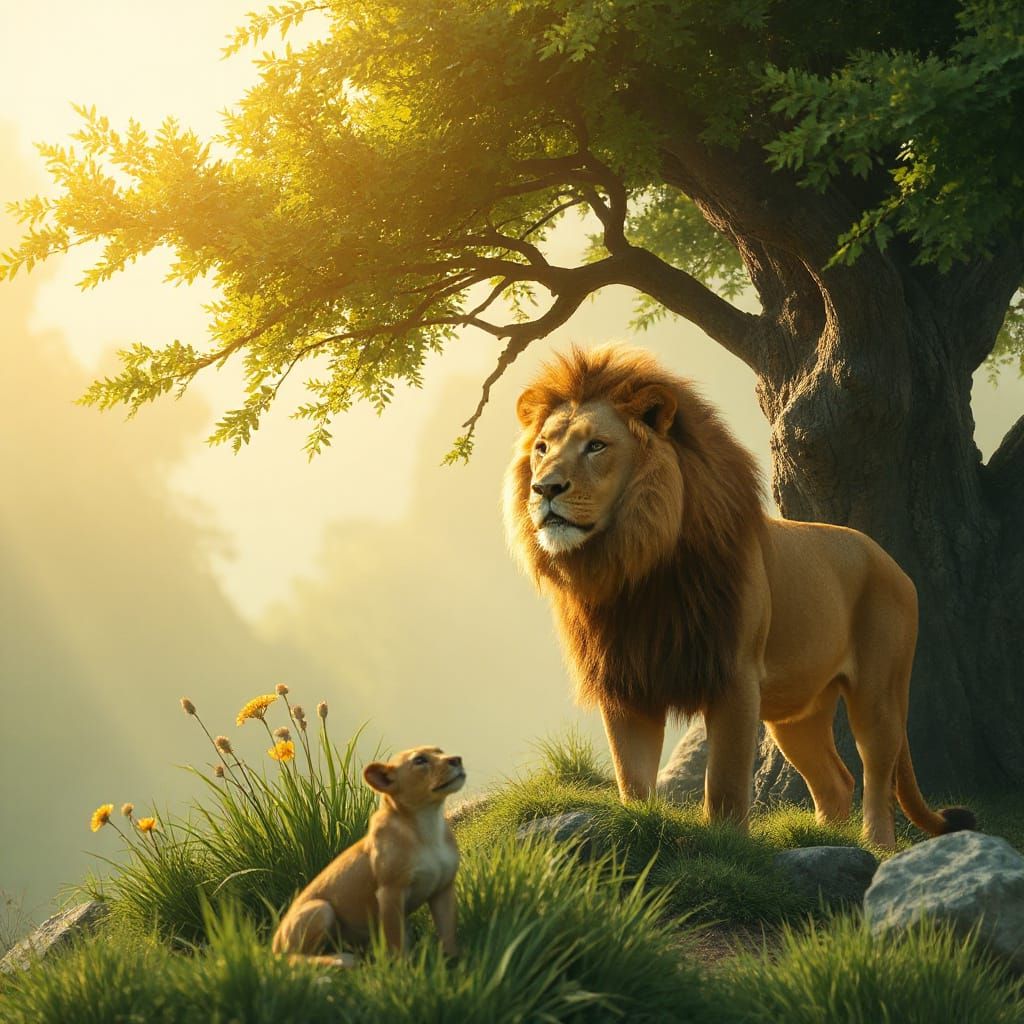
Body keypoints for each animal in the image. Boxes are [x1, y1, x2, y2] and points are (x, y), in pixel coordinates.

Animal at [503, 345, 974, 849]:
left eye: (596, 446)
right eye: (542, 448)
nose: (544, 488)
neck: (639, 568)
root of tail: (890, 560)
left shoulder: (734, 675)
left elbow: (726, 782)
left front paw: (727, 846)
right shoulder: (628, 682)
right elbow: (632, 777)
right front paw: (641, 829)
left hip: (878, 693)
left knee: (877, 779)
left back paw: (875, 846)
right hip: (796, 713)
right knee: (835, 780)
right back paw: (827, 840)